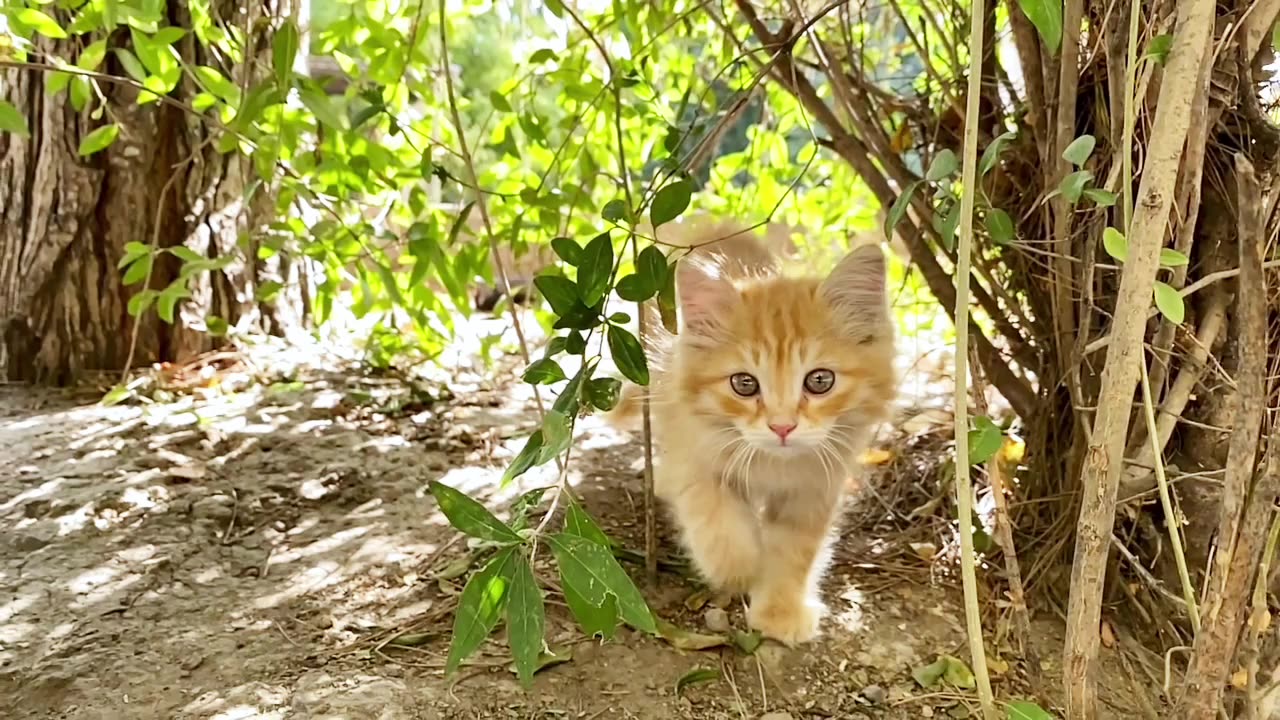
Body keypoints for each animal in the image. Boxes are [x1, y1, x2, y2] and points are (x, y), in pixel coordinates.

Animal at [606, 220, 890, 645]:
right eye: (744, 384)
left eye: (820, 381)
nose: (782, 426)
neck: (773, 465)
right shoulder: (693, 451)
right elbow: (715, 517)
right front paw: (739, 567)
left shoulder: (815, 487)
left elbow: (795, 550)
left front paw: (780, 609)